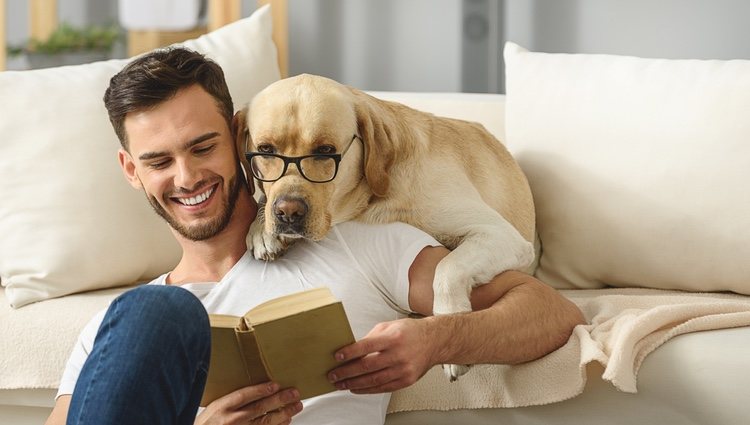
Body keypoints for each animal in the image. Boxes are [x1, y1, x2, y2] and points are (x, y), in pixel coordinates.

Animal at [238, 74, 536, 380]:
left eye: (325, 151)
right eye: (265, 150)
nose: (288, 213)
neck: (378, 197)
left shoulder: (501, 234)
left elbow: (447, 268)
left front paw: (452, 328)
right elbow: (263, 197)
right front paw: (261, 231)